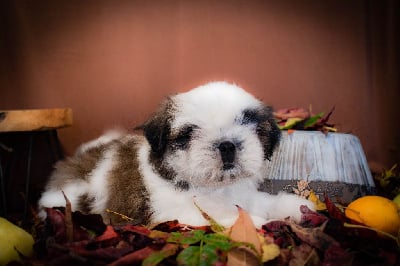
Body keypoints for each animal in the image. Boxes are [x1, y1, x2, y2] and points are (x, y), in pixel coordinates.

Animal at [37, 81, 314, 227]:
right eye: (188, 134)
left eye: (249, 125)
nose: (226, 145)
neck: (215, 188)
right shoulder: (176, 215)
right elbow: (228, 219)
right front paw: (260, 224)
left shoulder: (244, 196)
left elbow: (262, 201)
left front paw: (298, 207)